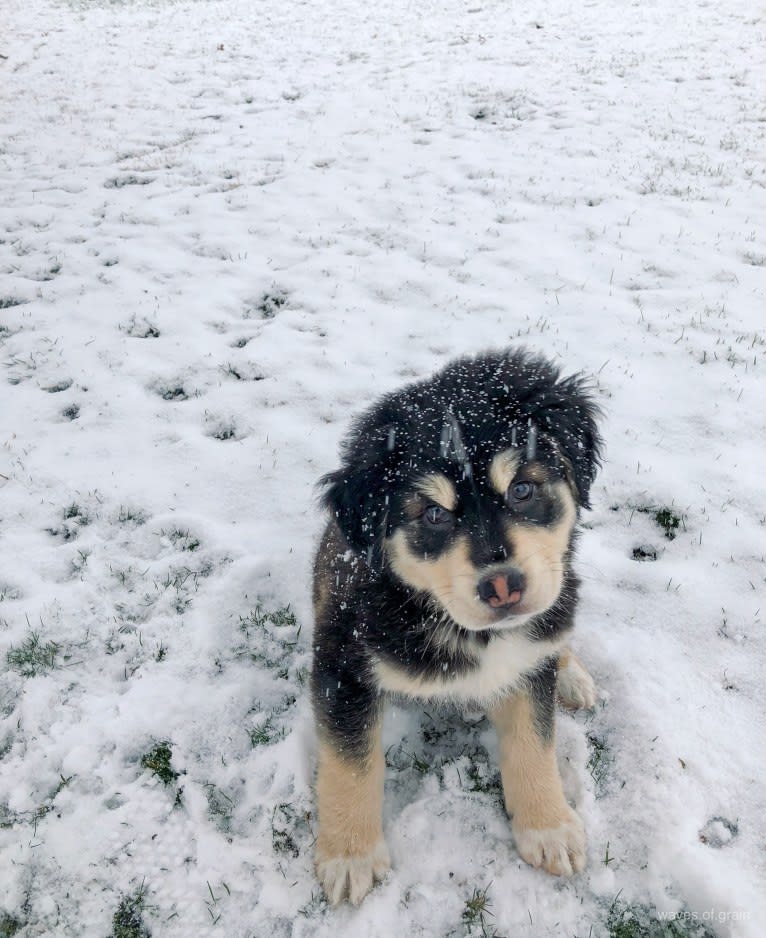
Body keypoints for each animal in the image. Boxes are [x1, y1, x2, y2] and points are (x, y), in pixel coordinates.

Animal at [312, 348, 608, 904]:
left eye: (522, 489)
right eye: (433, 515)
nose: (503, 586)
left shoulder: (528, 664)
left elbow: (534, 743)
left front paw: (548, 827)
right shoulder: (342, 665)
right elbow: (350, 763)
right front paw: (350, 855)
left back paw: (574, 675)